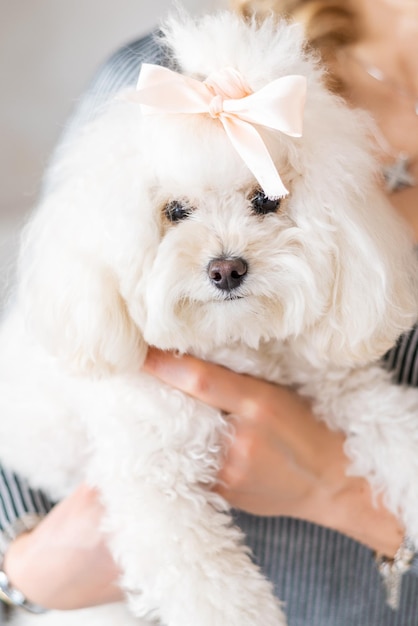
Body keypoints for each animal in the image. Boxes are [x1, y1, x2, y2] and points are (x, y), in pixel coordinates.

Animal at [2, 9, 418, 624]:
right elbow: (208, 582)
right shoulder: (155, 479)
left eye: (265, 200)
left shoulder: (342, 383)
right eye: (175, 211)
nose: (226, 269)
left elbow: (394, 428)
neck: (237, 343)